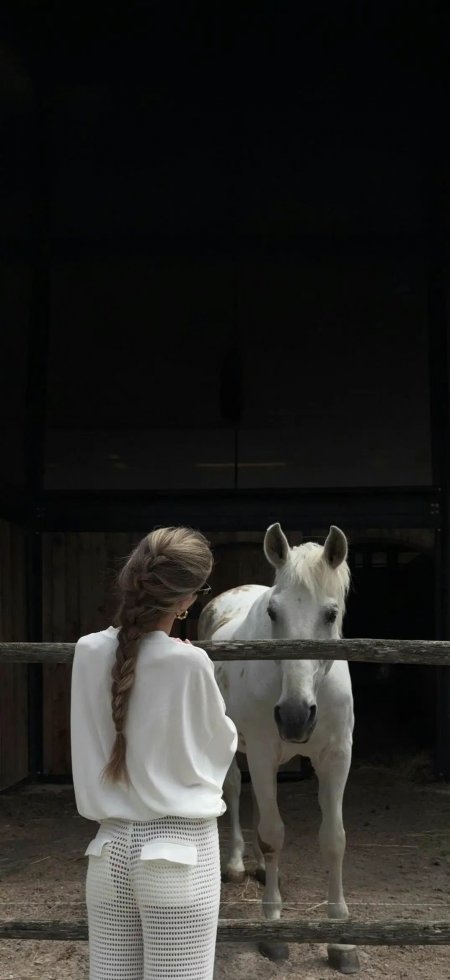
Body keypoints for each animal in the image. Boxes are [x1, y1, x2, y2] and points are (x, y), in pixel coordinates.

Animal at [198, 523, 359, 974]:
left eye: (331, 614)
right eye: (273, 613)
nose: (294, 716)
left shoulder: (337, 758)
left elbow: (334, 839)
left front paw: (340, 941)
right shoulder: (263, 754)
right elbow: (272, 836)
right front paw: (273, 931)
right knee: (234, 790)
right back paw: (237, 865)